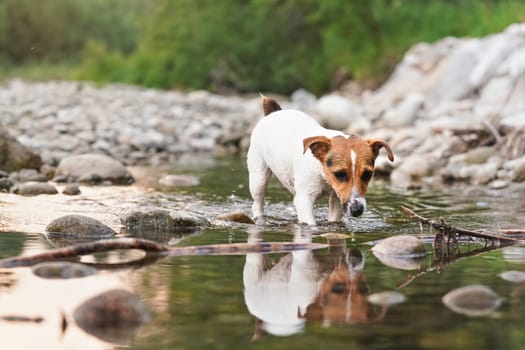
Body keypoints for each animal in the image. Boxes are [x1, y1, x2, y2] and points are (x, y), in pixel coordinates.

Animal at [247, 95, 392, 226]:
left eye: (367, 174)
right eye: (339, 174)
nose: (357, 210)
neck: (323, 174)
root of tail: (274, 113)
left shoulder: (337, 199)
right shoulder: (305, 198)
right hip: (258, 179)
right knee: (257, 203)